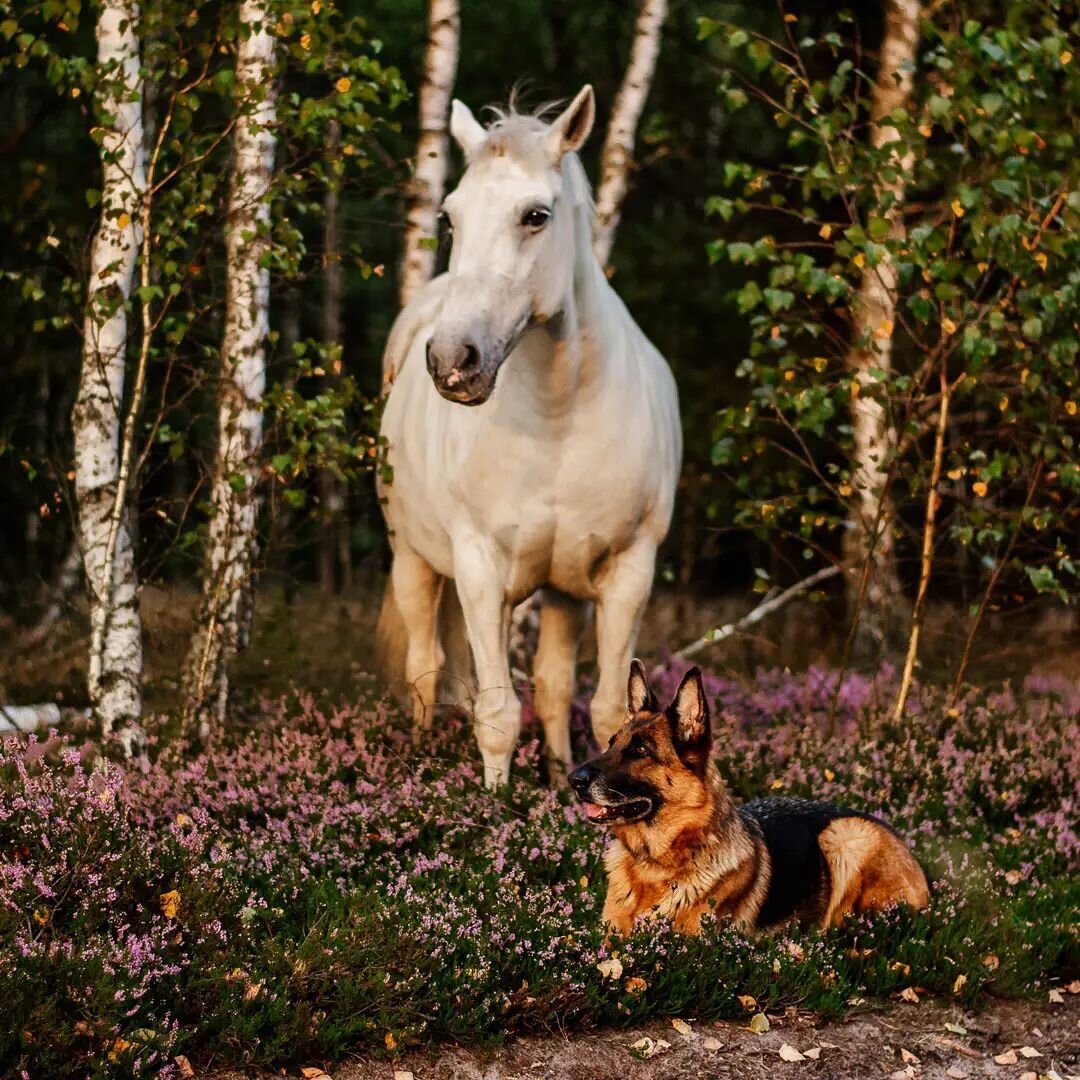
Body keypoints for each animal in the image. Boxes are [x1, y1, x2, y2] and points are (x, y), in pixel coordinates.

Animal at [380, 86, 678, 786]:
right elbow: (495, 714)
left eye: (535, 215)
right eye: (451, 218)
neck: (557, 417)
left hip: (564, 593)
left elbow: (603, 707)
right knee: (425, 672)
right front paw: (490, 805)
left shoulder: (627, 574)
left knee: (551, 683)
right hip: (413, 560)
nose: (452, 360)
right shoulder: (479, 570)